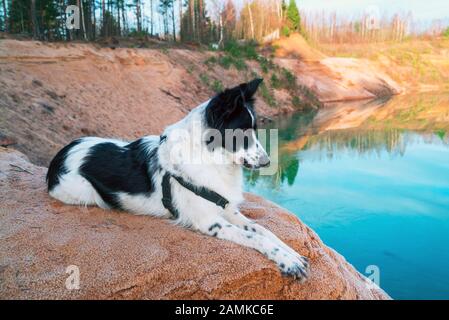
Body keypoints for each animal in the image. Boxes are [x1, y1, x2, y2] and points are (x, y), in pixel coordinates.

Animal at [47, 78, 310, 280]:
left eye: (255, 131)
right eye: (242, 132)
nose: (266, 162)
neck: (210, 157)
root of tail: (64, 151)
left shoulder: (227, 208)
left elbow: (263, 230)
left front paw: (291, 253)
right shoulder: (210, 222)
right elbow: (254, 236)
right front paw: (287, 261)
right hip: (84, 191)